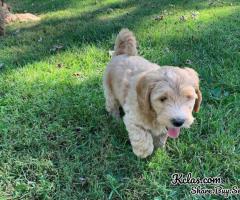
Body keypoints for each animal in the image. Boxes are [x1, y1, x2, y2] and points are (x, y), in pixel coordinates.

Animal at [102, 28, 202, 159]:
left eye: (188, 97)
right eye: (163, 98)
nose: (178, 122)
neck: (153, 114)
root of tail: (121, 54)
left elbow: (161, 135)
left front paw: (160, 148)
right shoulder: (132, 119)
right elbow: (141, 135)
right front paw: (144, 151)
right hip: (110, 92)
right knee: (112, 106)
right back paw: (116, 120)